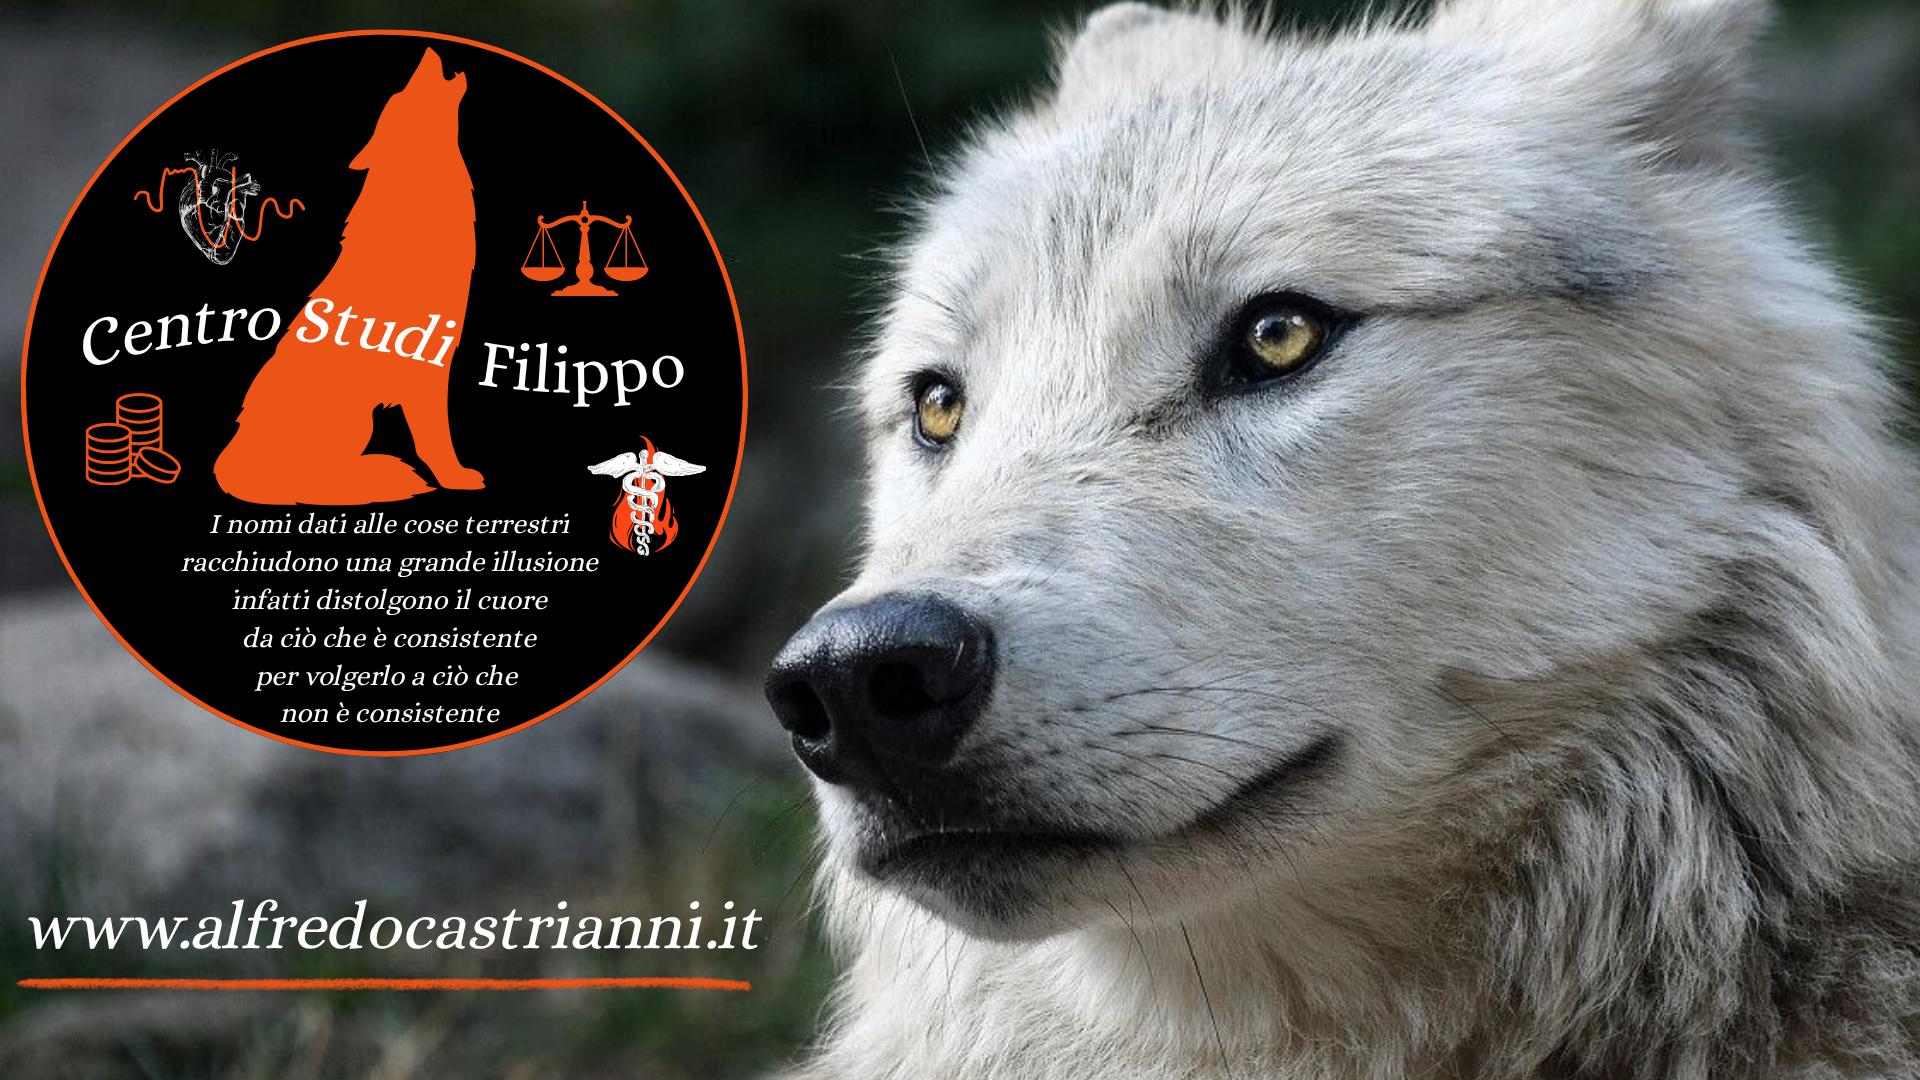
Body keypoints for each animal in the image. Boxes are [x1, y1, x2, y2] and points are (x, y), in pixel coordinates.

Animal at [214, 47, 482, 505]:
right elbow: (437, 439)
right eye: (401, 97)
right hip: (354, 419)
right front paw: (455, 478)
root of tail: (230, 459)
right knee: (312, 481)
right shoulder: (429, 371)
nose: (428, 49)